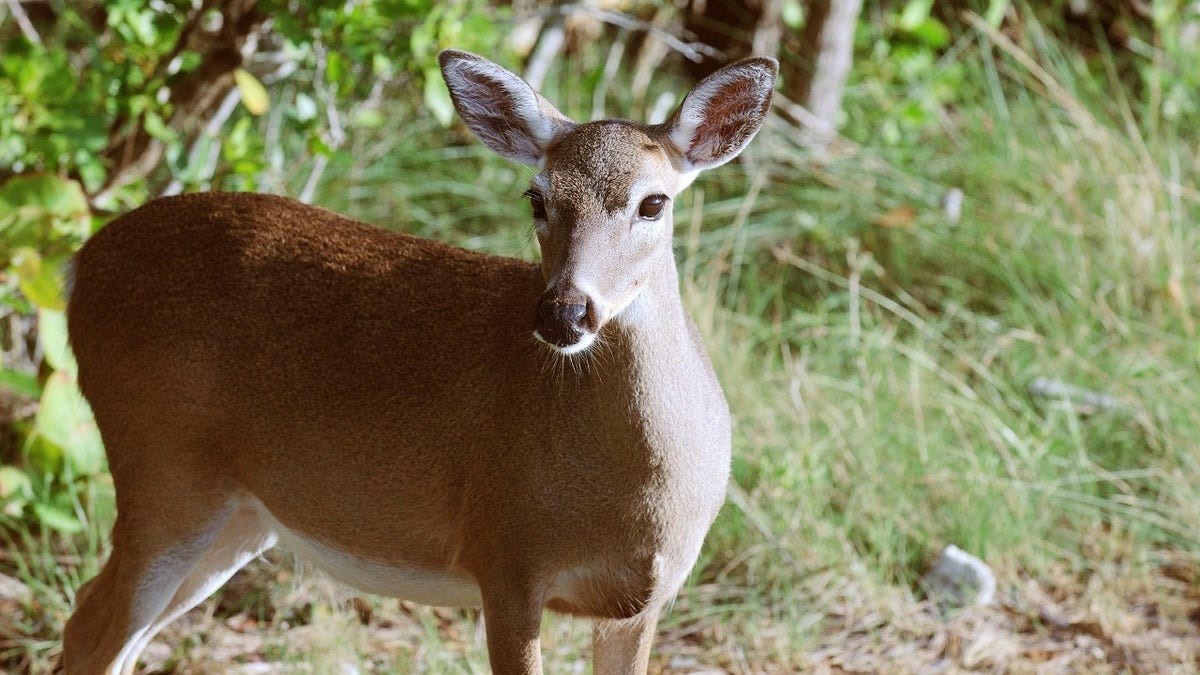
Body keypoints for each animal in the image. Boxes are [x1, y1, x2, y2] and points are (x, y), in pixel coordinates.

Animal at [60, 48, 777, 672]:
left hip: (238, 512)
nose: (563, 313)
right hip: (161, 461)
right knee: (92, 626)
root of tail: (78, 266)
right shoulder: (505, 556)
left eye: (654, 202)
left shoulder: (640, 601)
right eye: (537, 198)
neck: (636, 497)